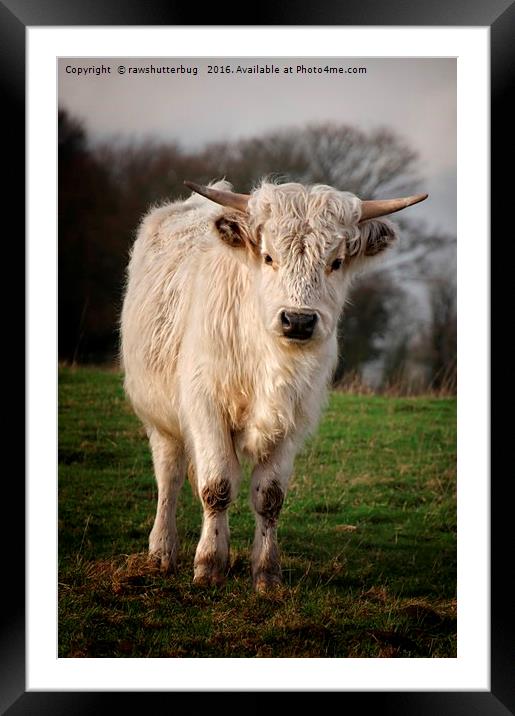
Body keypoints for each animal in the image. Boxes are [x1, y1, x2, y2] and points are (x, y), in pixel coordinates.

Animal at [122, 180, 428, 592]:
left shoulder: (292, 420)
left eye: (336, 262)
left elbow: (269, 497)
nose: (298, 320)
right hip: (161, 418)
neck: (270, 363)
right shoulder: (205, 407)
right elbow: (216, 487)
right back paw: (161, 552)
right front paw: (209, 565)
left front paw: (266, 573)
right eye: (268, 257)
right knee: (169, 477)